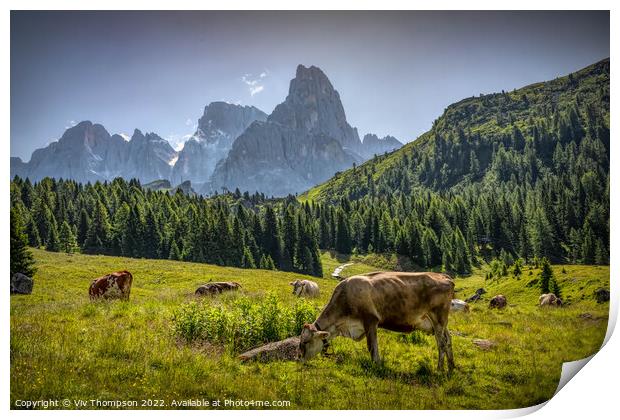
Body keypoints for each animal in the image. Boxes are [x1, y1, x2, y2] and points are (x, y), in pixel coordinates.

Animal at [300, 270, 456, 372]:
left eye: (306, 342)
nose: (299, 359)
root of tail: (444, 276)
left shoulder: (370, 320)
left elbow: (372, 346)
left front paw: (376, 364)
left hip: (438, 319)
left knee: (441, 343)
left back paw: (439, 369)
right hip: (441, 323)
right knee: (448, 340)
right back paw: (451, 367)